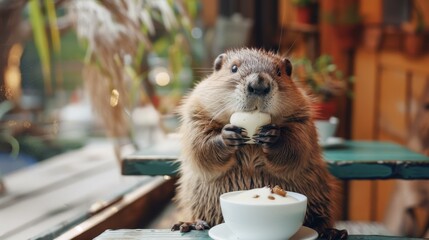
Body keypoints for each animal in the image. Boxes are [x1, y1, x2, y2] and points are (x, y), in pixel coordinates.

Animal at [174, 48, 344, 238]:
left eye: (279, 71)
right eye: (234, 68)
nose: (259, 84)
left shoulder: (303, 117)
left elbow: (297, 148)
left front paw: (271, 136)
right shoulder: (196, 109)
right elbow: (199, 145)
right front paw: (229, 136)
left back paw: (332, 232)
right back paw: (190, 224)